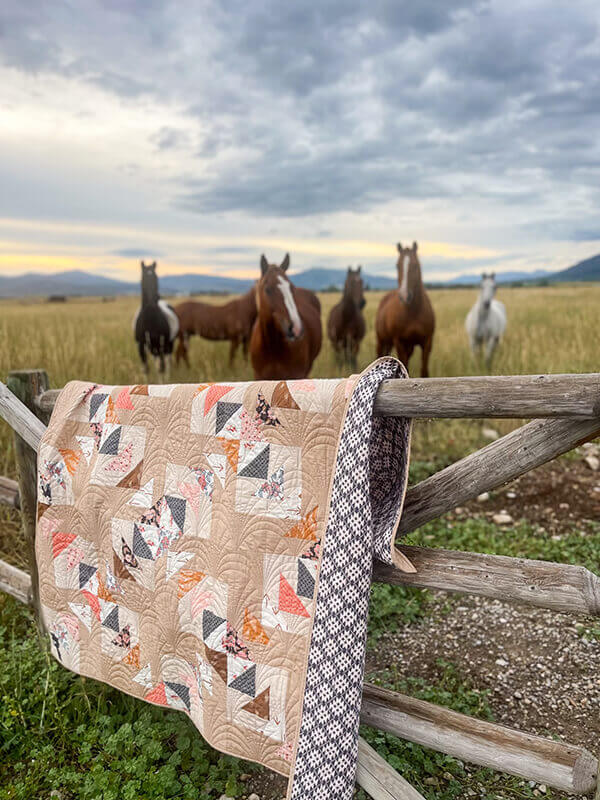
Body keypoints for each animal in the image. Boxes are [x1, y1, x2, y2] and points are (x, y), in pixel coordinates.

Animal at [376, 241, 436, 378]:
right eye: (397, 266)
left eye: (415, 265)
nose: (404, 296)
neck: (413, 312)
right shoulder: (400, 342)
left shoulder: (427, 343)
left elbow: (424, 371)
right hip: (381, 341)